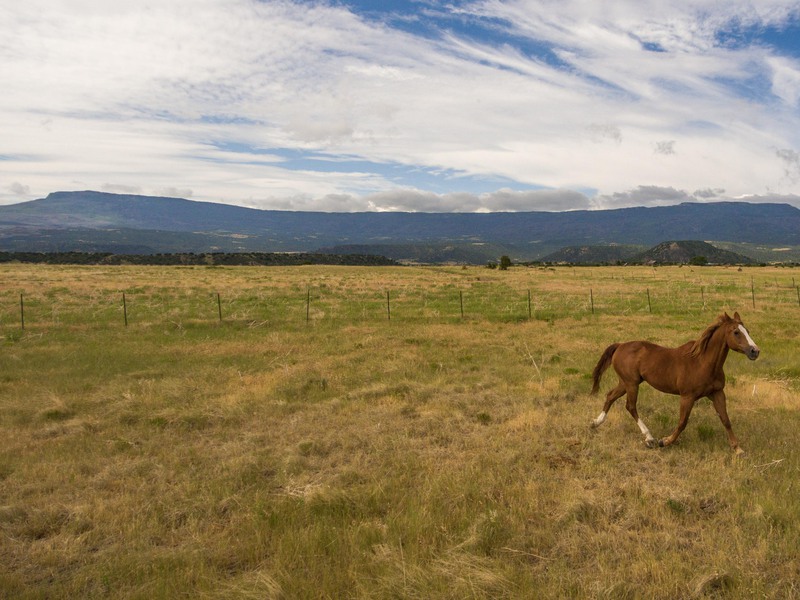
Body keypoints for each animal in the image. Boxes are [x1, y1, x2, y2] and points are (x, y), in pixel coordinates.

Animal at [592, 312, 760, 452]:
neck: (703, 362)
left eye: (748, 331)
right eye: (736, 332)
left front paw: (737, 449)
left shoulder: (717, 393)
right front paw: (664, 441)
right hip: (631, 384)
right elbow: (682, 422)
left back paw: (595, 423)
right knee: (630, 406)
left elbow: (725, 420)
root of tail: (620, 345)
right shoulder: (687, 396)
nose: (755, 351)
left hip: (626, 383)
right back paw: (650, 438)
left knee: (610, 396)